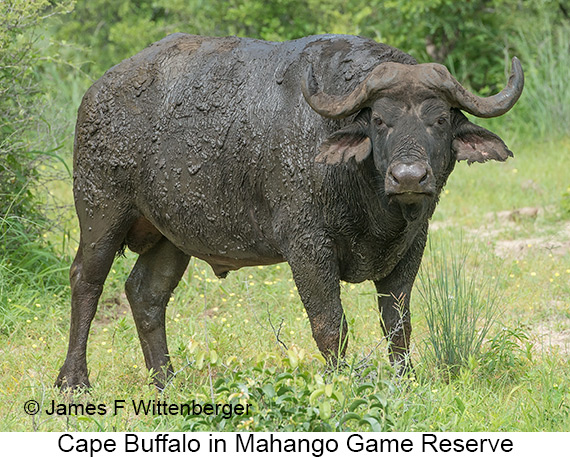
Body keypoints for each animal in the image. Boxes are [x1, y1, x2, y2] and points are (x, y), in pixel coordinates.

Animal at [55, 33, 520, 388]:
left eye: (439, 120)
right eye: (379, 120)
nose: (409, 176)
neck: (369, 199)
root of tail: (97, 92)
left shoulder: (410, 247)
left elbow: (397, 325)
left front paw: (406, 382)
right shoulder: (307, 247)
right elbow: (331, 324)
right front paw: (341, 383)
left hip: (172, 236)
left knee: (145, 294)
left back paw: (166, 379)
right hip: (100, 210)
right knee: (86, 281)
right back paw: (74, 379)